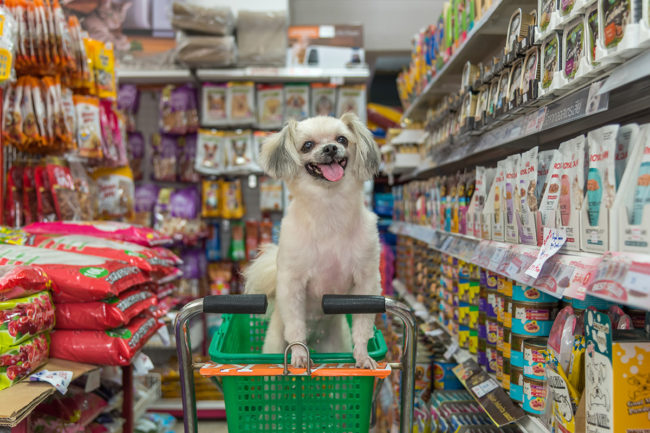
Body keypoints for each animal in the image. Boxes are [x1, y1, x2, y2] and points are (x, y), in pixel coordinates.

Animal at [246, 112, 382, 368]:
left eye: (342, 139)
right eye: (307, 145)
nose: (330, 148)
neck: (329, 210)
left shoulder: (366, 284)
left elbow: (362, 325)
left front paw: (362, 355)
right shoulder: (292, 285)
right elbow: (296, 326)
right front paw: (299, 354)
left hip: (336, 342)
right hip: (274, 342)